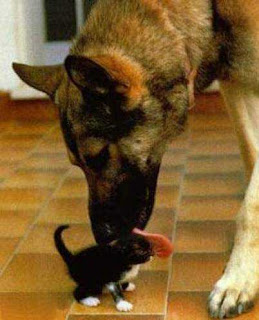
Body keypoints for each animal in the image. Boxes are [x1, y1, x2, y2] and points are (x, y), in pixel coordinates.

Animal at [13, 1, 259, 318]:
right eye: (78, 164)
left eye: (99, 157)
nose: (102, 238)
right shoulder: (237, 85)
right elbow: (251, 157)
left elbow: (252, 205)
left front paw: (238, 278)